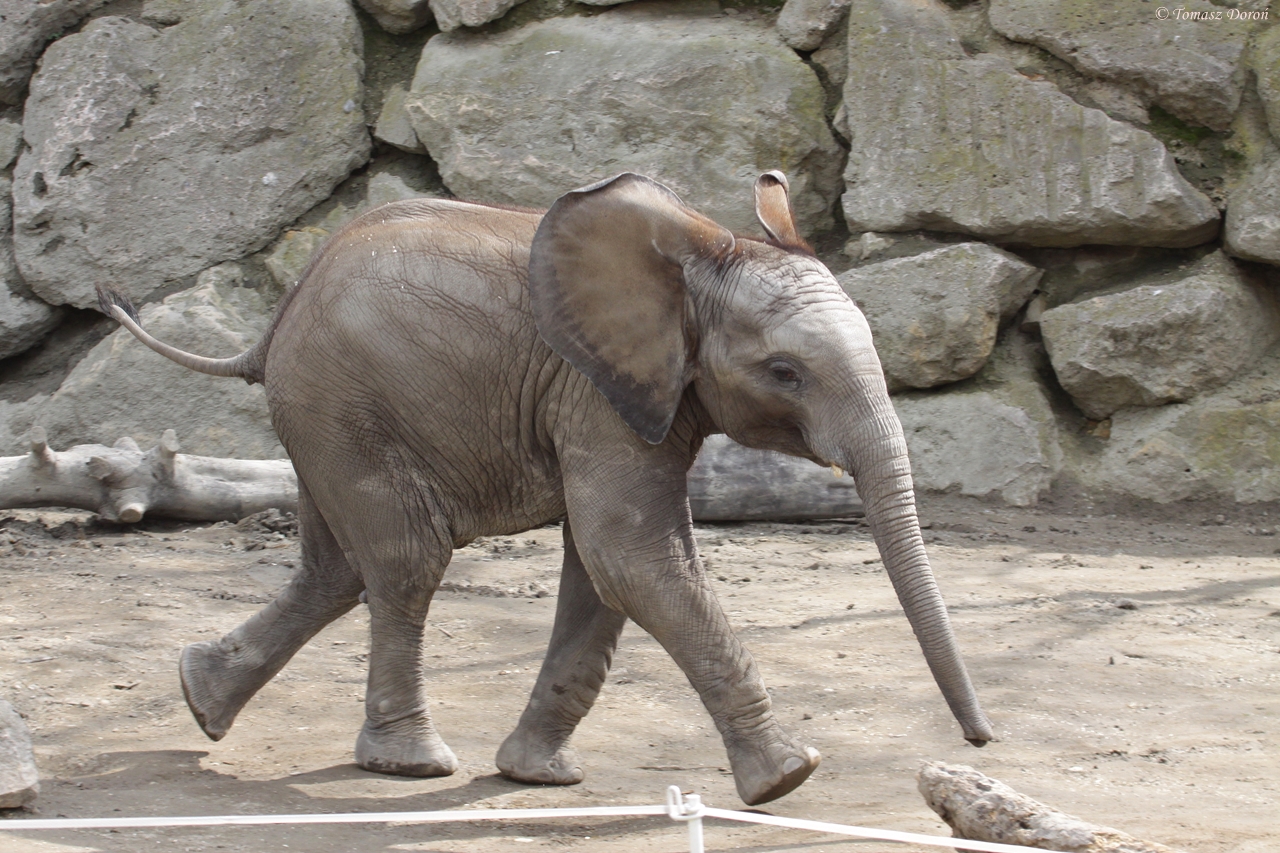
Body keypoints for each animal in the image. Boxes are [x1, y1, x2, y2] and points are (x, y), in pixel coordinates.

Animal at [96, 171, 992, 806]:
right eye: (785, 372)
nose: (980, 745)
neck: (695, 264)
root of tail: (274, 322)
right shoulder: (595, 391)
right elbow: (628, 552)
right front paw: (787, 777)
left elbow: (602, 569)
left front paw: (537, 776)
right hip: (343, 403)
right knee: (406, 559)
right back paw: (410, 764)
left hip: (322, 411)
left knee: (335, 567)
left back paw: (200, 697)